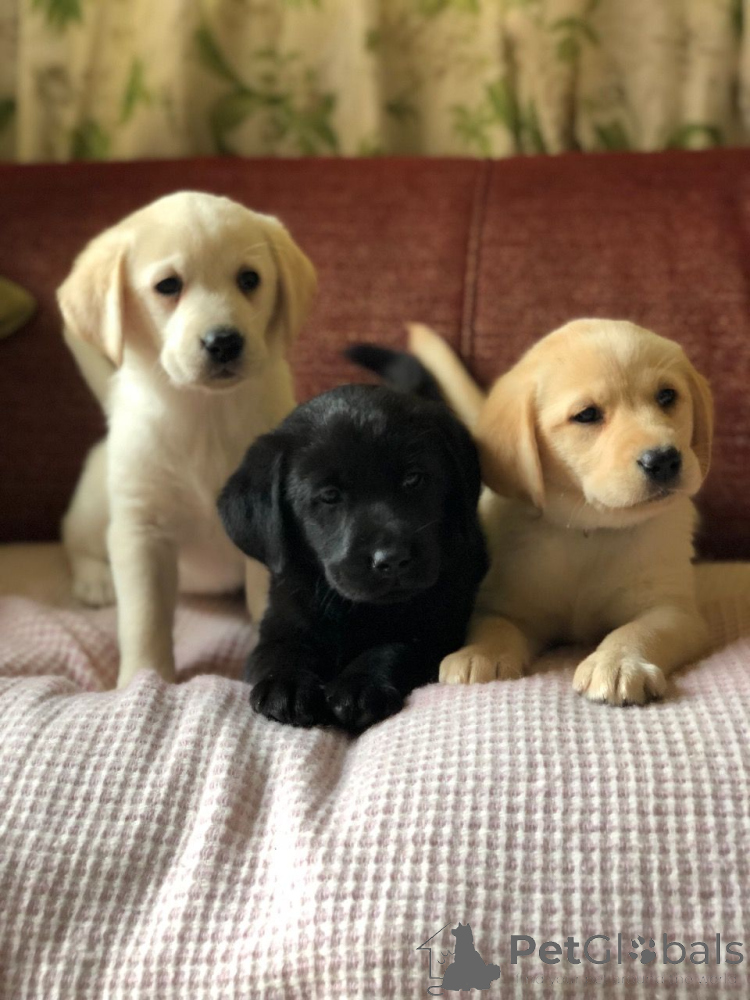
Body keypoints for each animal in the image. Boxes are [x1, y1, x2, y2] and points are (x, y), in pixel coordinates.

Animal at [59, 191, 316, 688]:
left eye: (249, 279)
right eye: (167, 286)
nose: (224, 342)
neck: (204, 415)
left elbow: (267, 606)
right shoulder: (142, 532)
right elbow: (145, 619)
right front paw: (142, 678)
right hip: (96, 504)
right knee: (75, 538)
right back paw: (94, 580)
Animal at [217, 346, 489, 732]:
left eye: (414, 479)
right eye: (329, 496)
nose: (392, 559)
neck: (355, 610)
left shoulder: (439, 628)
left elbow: (397, 644)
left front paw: (360, 685)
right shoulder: (280, 616)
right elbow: (279, 649)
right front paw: (286, 684)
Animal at [409, 319, 714, 706]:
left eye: (666, 397)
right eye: (587, 415)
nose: (663, 460)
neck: (589, 529)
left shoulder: (673, 610)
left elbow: (639, 630)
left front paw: (617, 662)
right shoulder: (507, 601)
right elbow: (494, 624)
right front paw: (480, 654)